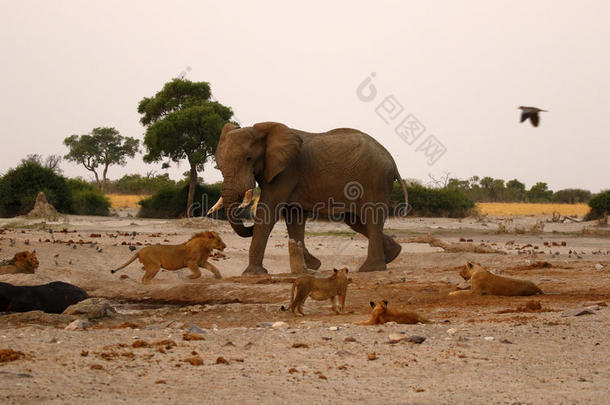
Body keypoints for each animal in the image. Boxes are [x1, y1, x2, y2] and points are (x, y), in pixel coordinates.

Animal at [211, 120, 406, 274]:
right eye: (218, 165)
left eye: (249, 158)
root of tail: (391, 159)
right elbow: (293, 218)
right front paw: (312, 265)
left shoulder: (287, 171)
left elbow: (268, 212)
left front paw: (252, 273)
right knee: (355, 220)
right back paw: (393, 254)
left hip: (375, 179)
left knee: (371, 218)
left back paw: (370, 268)